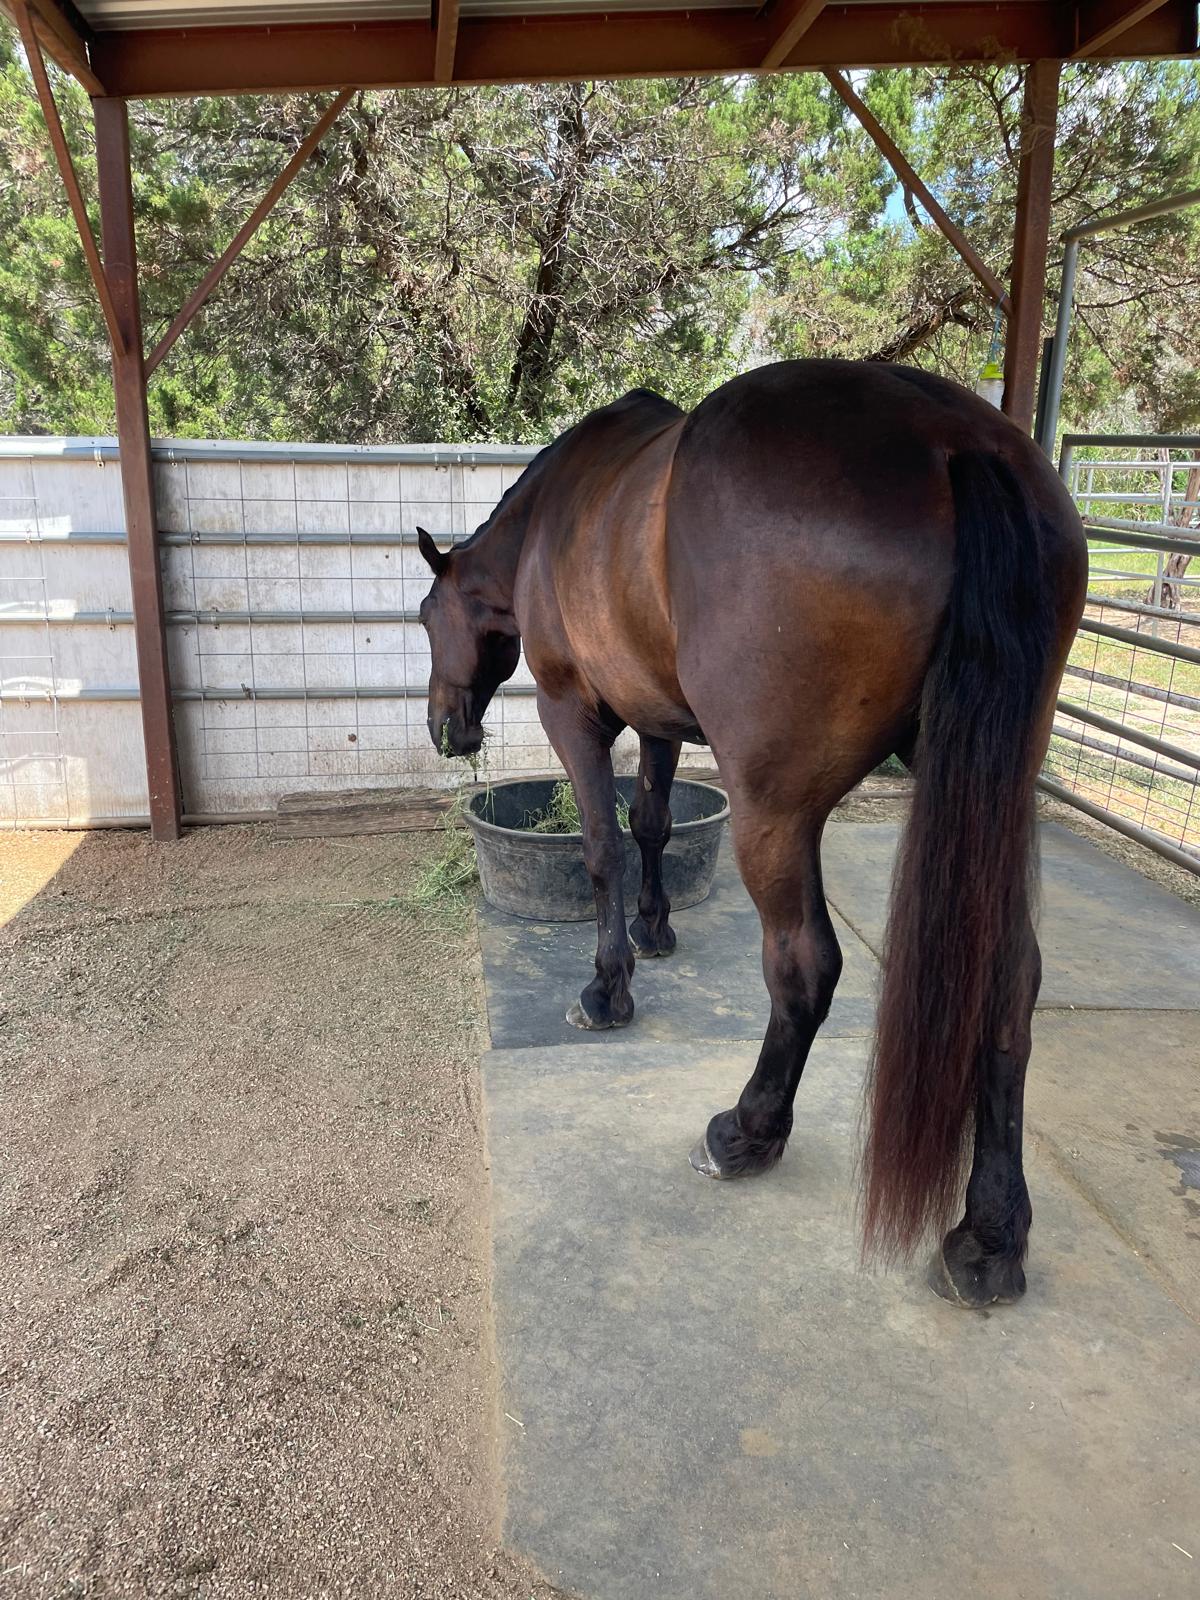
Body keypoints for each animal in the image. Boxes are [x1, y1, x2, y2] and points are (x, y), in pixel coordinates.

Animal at [416, 359, 1087, 1308]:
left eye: (423, 617)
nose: (446, 730)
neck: (558, 517)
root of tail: (958, 442)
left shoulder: (572, 712)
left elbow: (603, 849)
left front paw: (607, 988)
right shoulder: (657, 717)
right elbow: (652, 822)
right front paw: (655, 930)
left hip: (776, 811)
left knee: (805, 965)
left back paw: (747, 1130)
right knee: (1008, 980)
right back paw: (989, 1235)